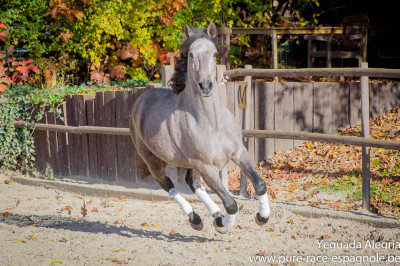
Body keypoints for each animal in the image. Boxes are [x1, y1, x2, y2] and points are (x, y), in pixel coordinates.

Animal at [130, 21, 270, 233]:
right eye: (190, 54)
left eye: (213, 54)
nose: (205, 85)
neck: (213, 124)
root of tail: (141, 100)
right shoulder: (206, 166)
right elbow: (231, 203)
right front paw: (222, 225)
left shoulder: (238, 152)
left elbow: (259, 184)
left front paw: (262, 217)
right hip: (152, 160)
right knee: (168, 184)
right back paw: (196, 219)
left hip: (189, 164)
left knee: (192, 183)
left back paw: (215, 214)